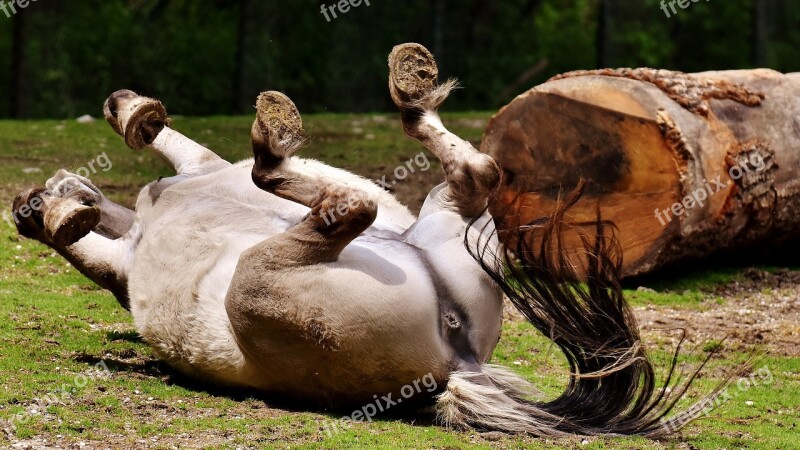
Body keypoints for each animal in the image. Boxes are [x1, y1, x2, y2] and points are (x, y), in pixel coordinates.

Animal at [9, 42, 720, 436]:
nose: (30, 199)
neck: (148, 218)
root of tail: (457, 366)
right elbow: (85, 238)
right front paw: (65, 210)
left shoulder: (195, 166)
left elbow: (153, 136)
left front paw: (122, 121)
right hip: (321, 260)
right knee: (412, 189)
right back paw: (344, 112)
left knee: (380, 192)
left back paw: (344, 106)